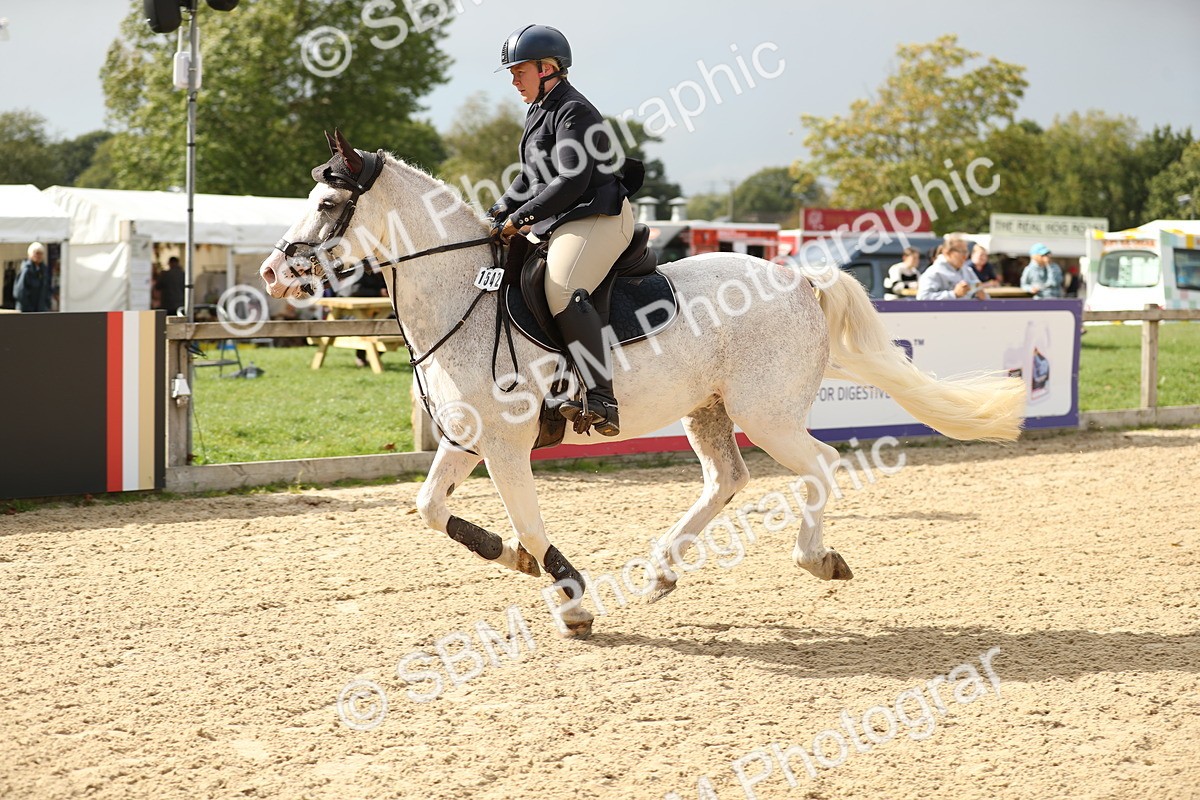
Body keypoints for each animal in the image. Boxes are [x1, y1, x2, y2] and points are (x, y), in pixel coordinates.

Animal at [260, 131, 1026, 638]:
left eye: (326, 203)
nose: (273, 273)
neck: (463, 293)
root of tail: (800, 279)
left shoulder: (506, 446)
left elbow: (530, 522)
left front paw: (571, 601)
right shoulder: (467, 440)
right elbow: (427, 508)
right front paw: (514, 560)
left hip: (767, 412)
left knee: (822, 464)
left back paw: (817, 558)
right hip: (708, 409)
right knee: (727, 478)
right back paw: (662, 571)